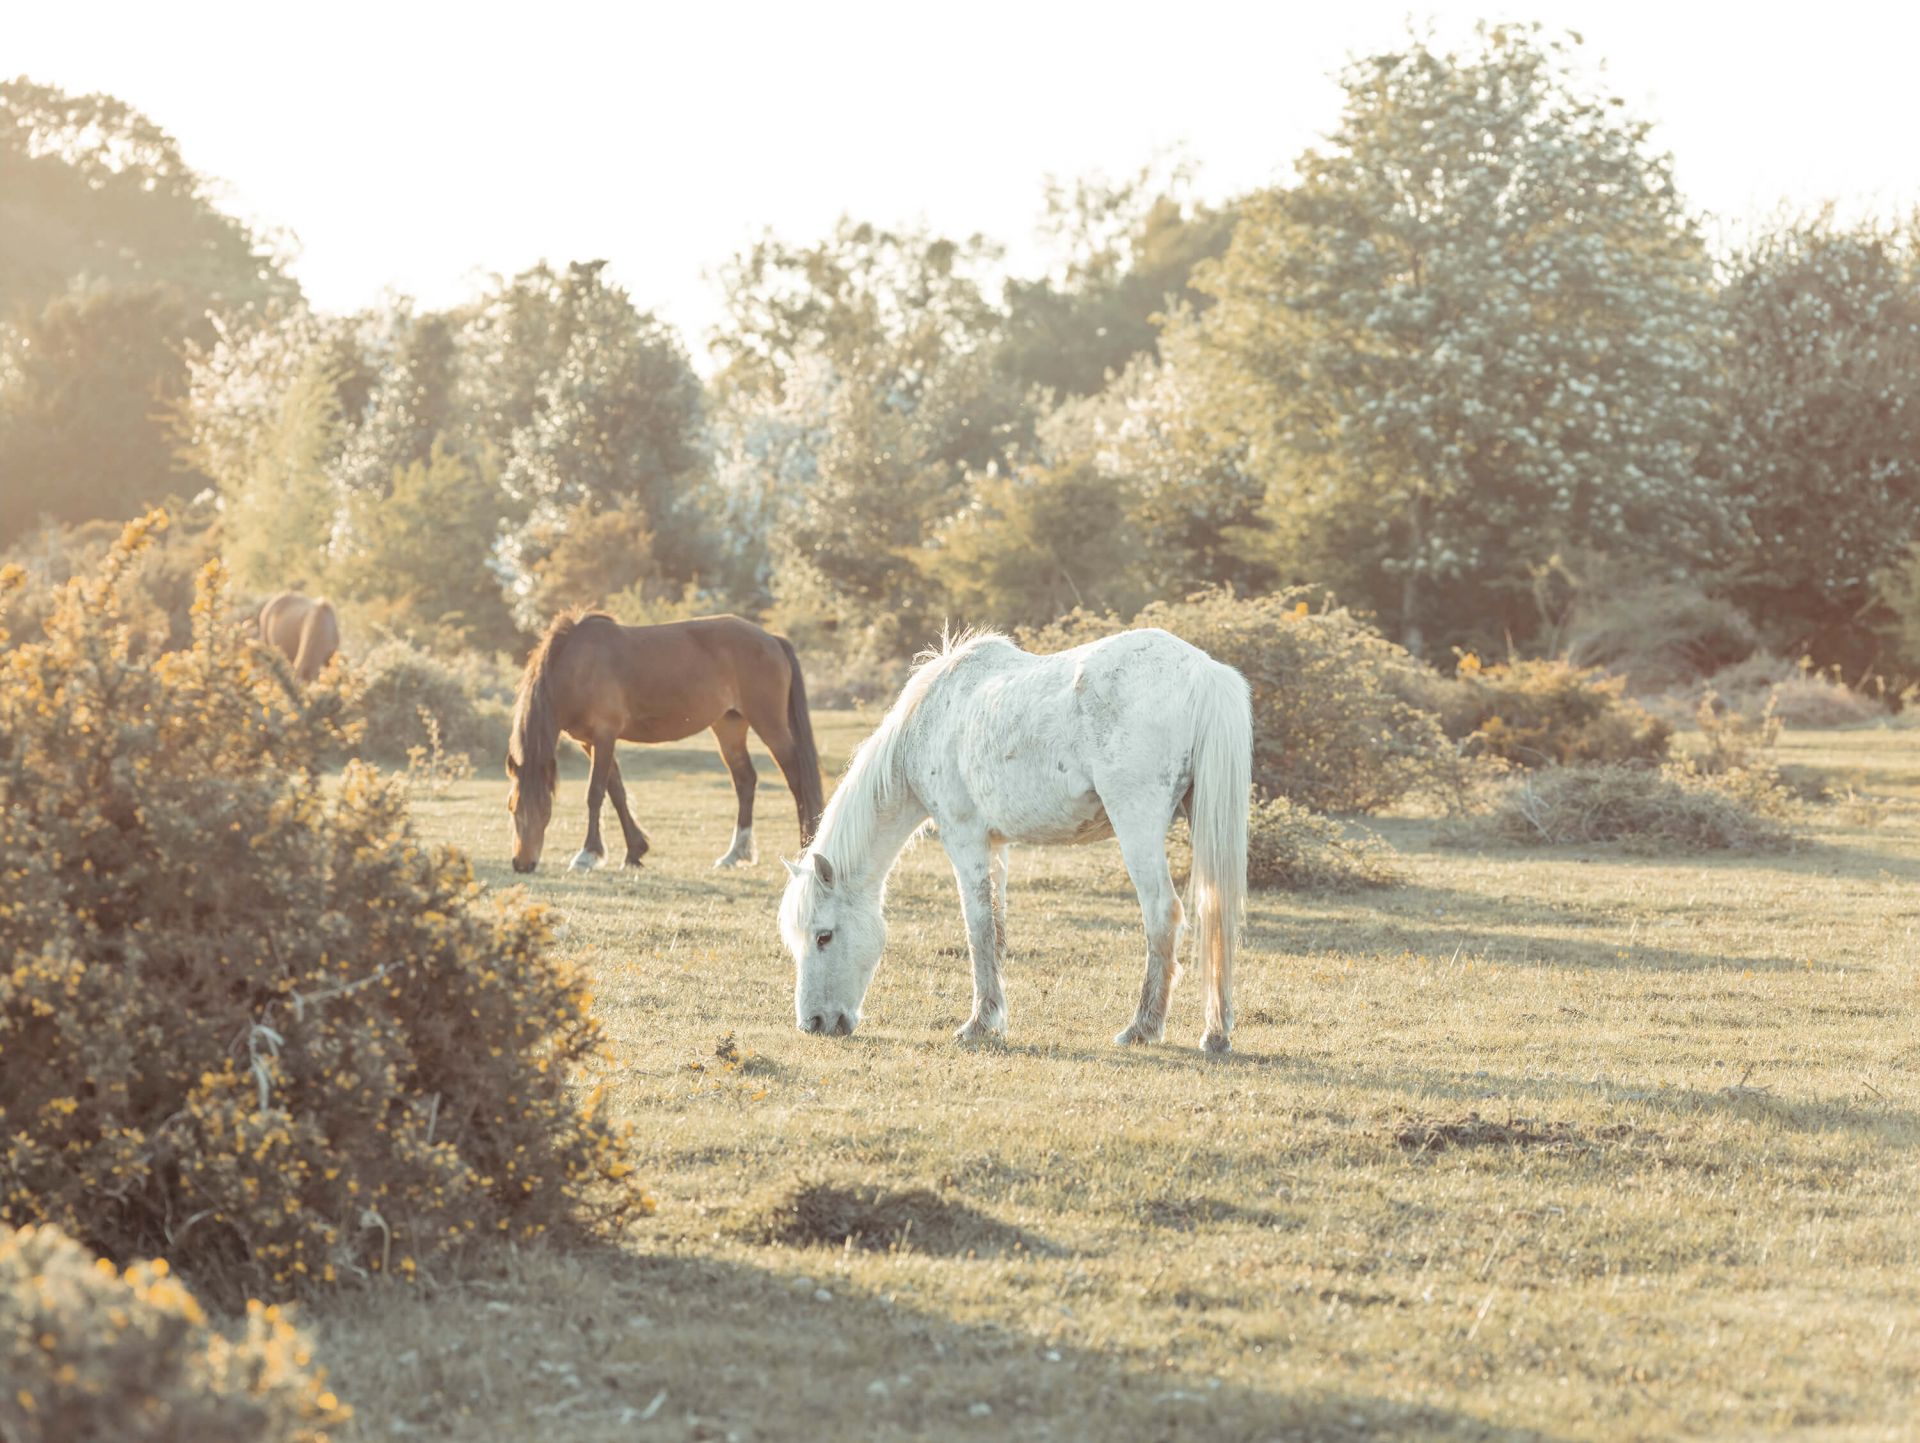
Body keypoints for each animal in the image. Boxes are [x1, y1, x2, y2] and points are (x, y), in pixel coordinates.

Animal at [506, 611, 825, 874]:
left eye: (546, 810)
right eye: (512, 808)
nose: (522, 863)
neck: (576, 665)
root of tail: (772, 639)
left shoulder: (604, 735)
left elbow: (595, 793)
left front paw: (587, 855)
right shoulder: (590, 742)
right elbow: (616, 791)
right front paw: (635, 851)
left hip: (770, 725)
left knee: (796, 778)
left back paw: (804, 845)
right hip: (729, 726)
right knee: (745, 781)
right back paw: (734, 854)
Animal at [779, 627, 1251, 1052]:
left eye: (824, 936)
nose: (813, 1024)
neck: (930, 721)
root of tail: (1205, 672)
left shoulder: (964, 838)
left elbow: (979, 928)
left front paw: (977, 1025)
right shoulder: (996, 845)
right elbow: (998, 927)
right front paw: (993, 1018)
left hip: (1136, 824)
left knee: (1162, 914)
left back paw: (1141, 1028)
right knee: (1216, 910)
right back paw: (1216, 1034)